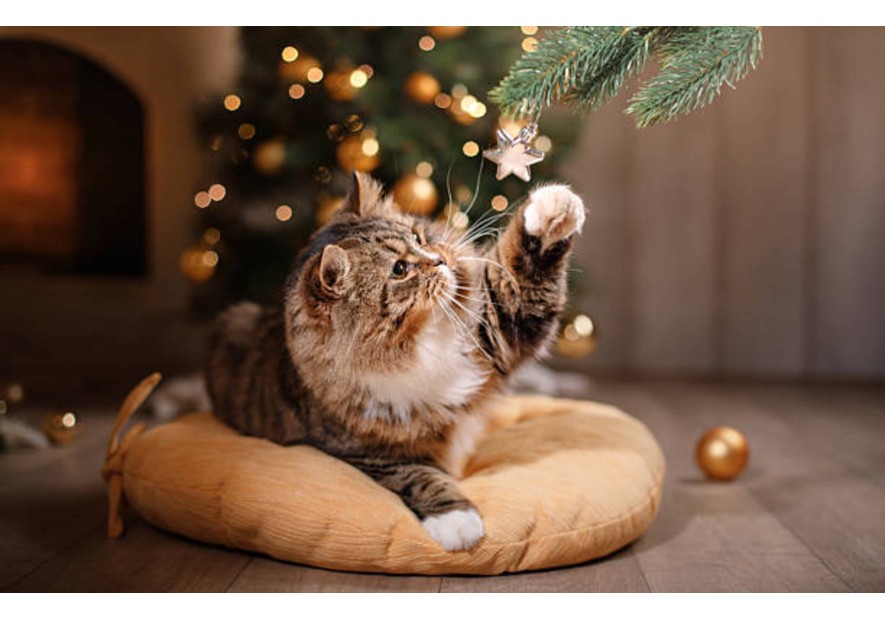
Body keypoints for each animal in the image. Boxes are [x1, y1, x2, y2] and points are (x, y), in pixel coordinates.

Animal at [204, 172, 584, 548]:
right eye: (400, 269)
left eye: (417, 236)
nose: (440, 258)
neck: (419, 345)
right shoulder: (366, 455)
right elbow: (418, 476)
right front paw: (458, 523)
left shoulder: (493, 330)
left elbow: (520, 275)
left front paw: (553, 207)